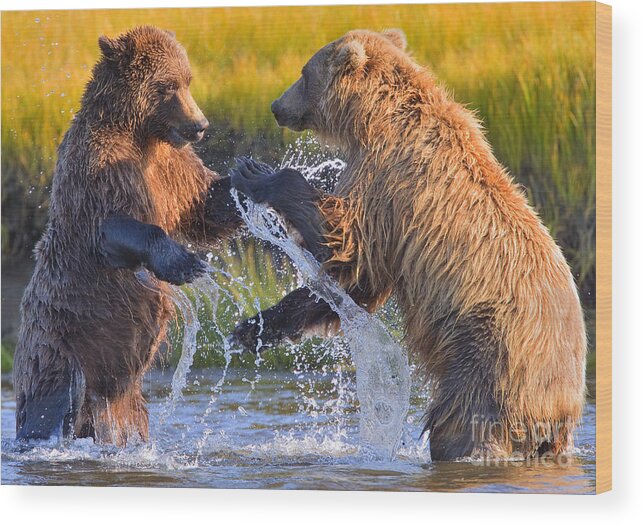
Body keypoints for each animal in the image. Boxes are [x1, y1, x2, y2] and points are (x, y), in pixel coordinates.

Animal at [11, 24, 320, 446]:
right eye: (167, 85)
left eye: (188, 80)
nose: (201, 125)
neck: (142, 135)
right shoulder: (99, 168)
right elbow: (113, 224)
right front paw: (183, 261)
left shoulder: (173, 169)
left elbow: (206, 206)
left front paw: (261, 176)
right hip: (60, 346)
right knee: (53, 403)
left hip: (124, 401)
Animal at [231, 28, 588, 462]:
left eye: (303, 72)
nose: (276, 106)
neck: (372, 119)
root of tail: (559, 406)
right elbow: (353, 284)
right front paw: (251, 329)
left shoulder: (389, 181)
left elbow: (346, 244)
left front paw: (255, 172)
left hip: (488, 359)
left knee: (460, 423)